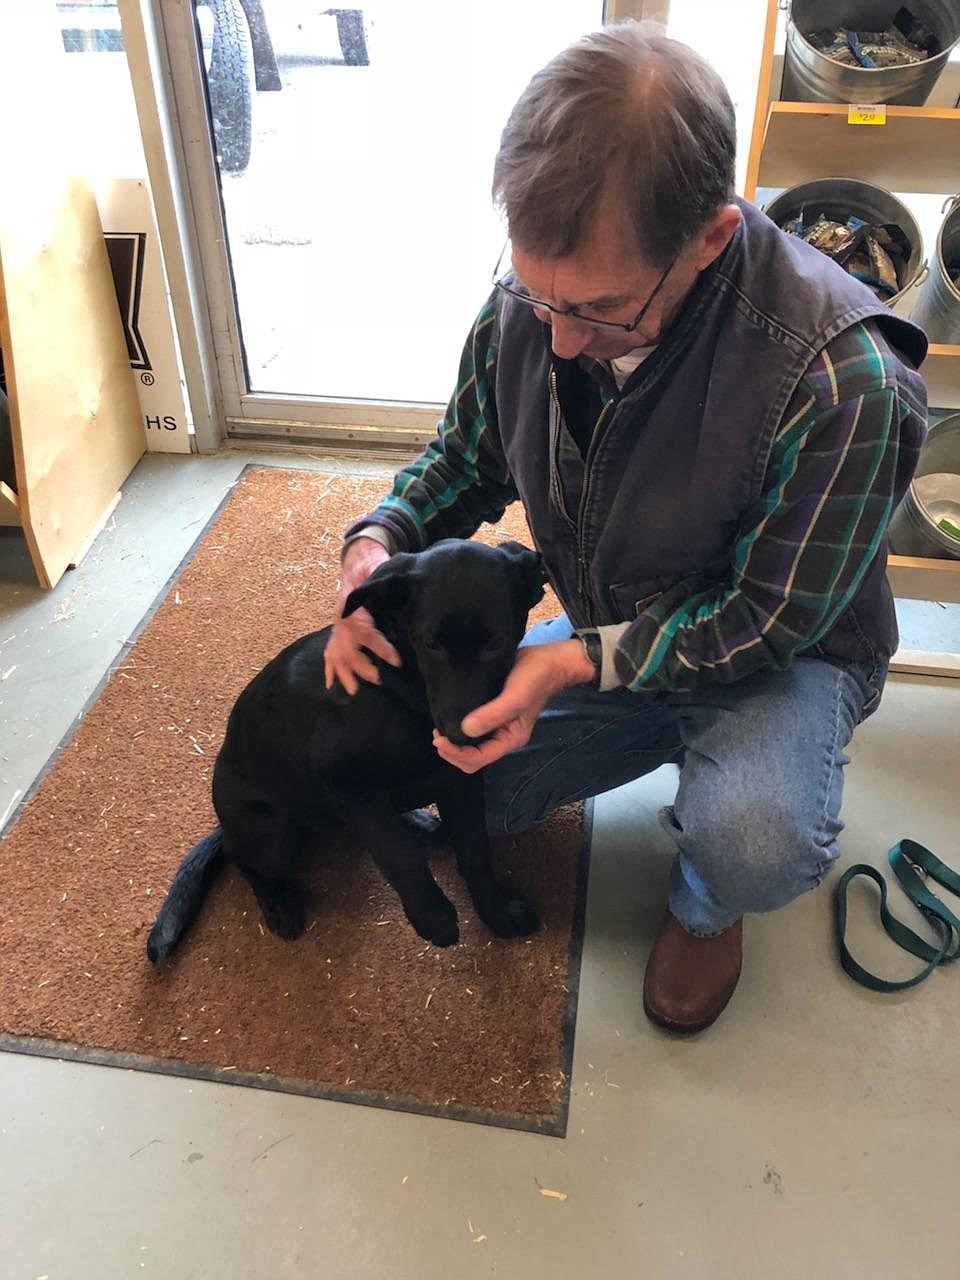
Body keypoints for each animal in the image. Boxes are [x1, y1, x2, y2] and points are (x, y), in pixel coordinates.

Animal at [144, 535, 547, 962]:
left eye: (497, 643)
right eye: (430, 643)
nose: (461, 735)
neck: (400, 691)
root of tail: (226, 824)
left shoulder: (460, 779)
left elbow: (474, 850)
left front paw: (496, 912)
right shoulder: (342, 780)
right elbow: (397, 852)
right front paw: (432, 916)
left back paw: (419, 822)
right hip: (272, 834)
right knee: (248, 862)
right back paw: (278, 904)